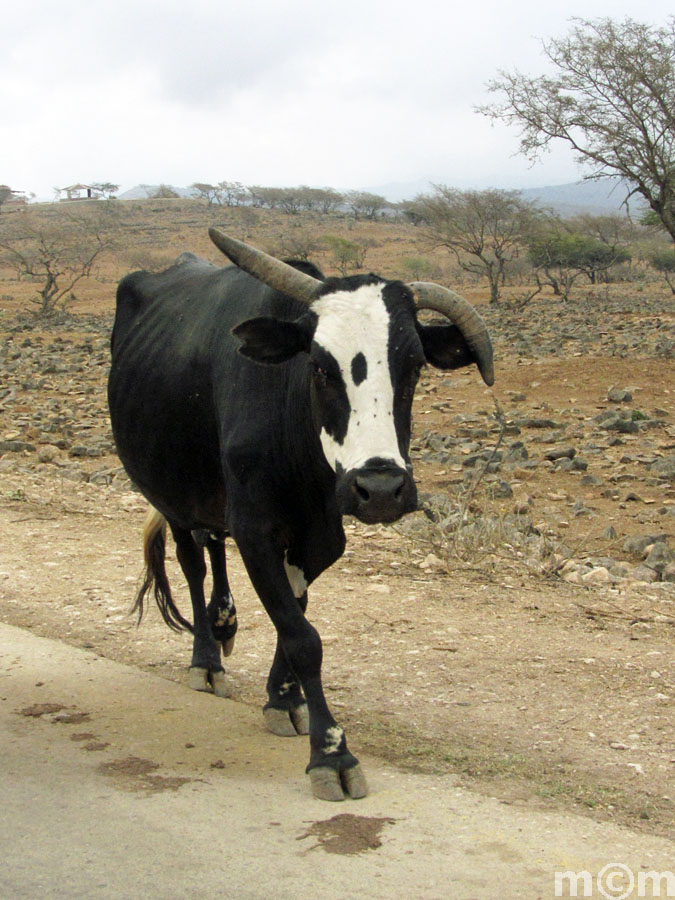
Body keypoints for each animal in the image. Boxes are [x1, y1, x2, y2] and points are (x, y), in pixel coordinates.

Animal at [108, 232, 494, 800]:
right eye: (319, 367)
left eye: (415, 365)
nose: (381, 489)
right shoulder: (256, 530)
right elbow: (302, 637)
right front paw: (331, 753)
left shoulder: (320, 537)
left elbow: (296, 609)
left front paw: (284, 697)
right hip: (170, 494)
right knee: (193, 561)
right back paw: (206, 657)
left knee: (212, 546)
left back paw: (224, 621)